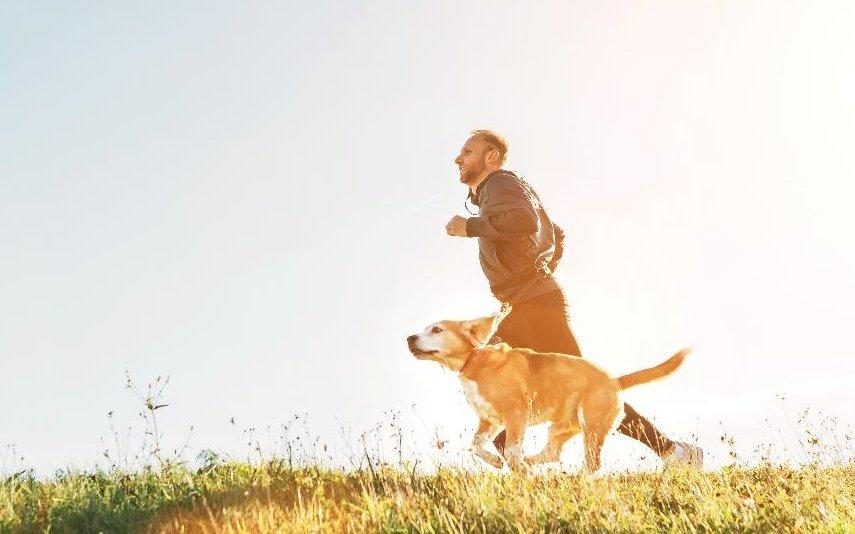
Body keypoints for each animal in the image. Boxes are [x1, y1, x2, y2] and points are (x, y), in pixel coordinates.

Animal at [406, 312, 688, 476]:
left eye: (437, 330)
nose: (409, 338)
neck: (473, 361)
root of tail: (614, 380)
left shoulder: (516, 415)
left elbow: (510, 450)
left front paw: (516, 468)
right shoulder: (489, 422)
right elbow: (475, 446)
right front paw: (498, 463)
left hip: (591, 425)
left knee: (593, 464)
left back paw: (573, 479)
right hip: (561, 427)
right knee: (553, 453)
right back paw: (532, 463)